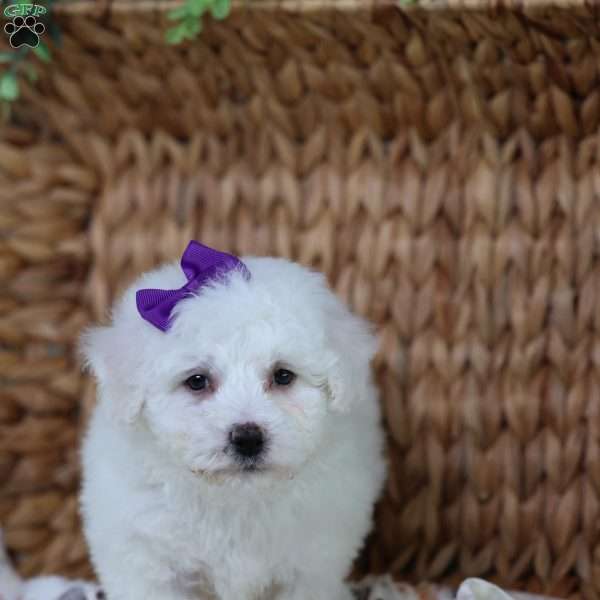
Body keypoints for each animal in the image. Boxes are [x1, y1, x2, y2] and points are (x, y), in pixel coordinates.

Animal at [78, 247, 384, 600]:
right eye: (197, 381)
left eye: (283, 375)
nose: (248, 438)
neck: (235, 498)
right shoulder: (147, 559)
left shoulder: (312, 566)